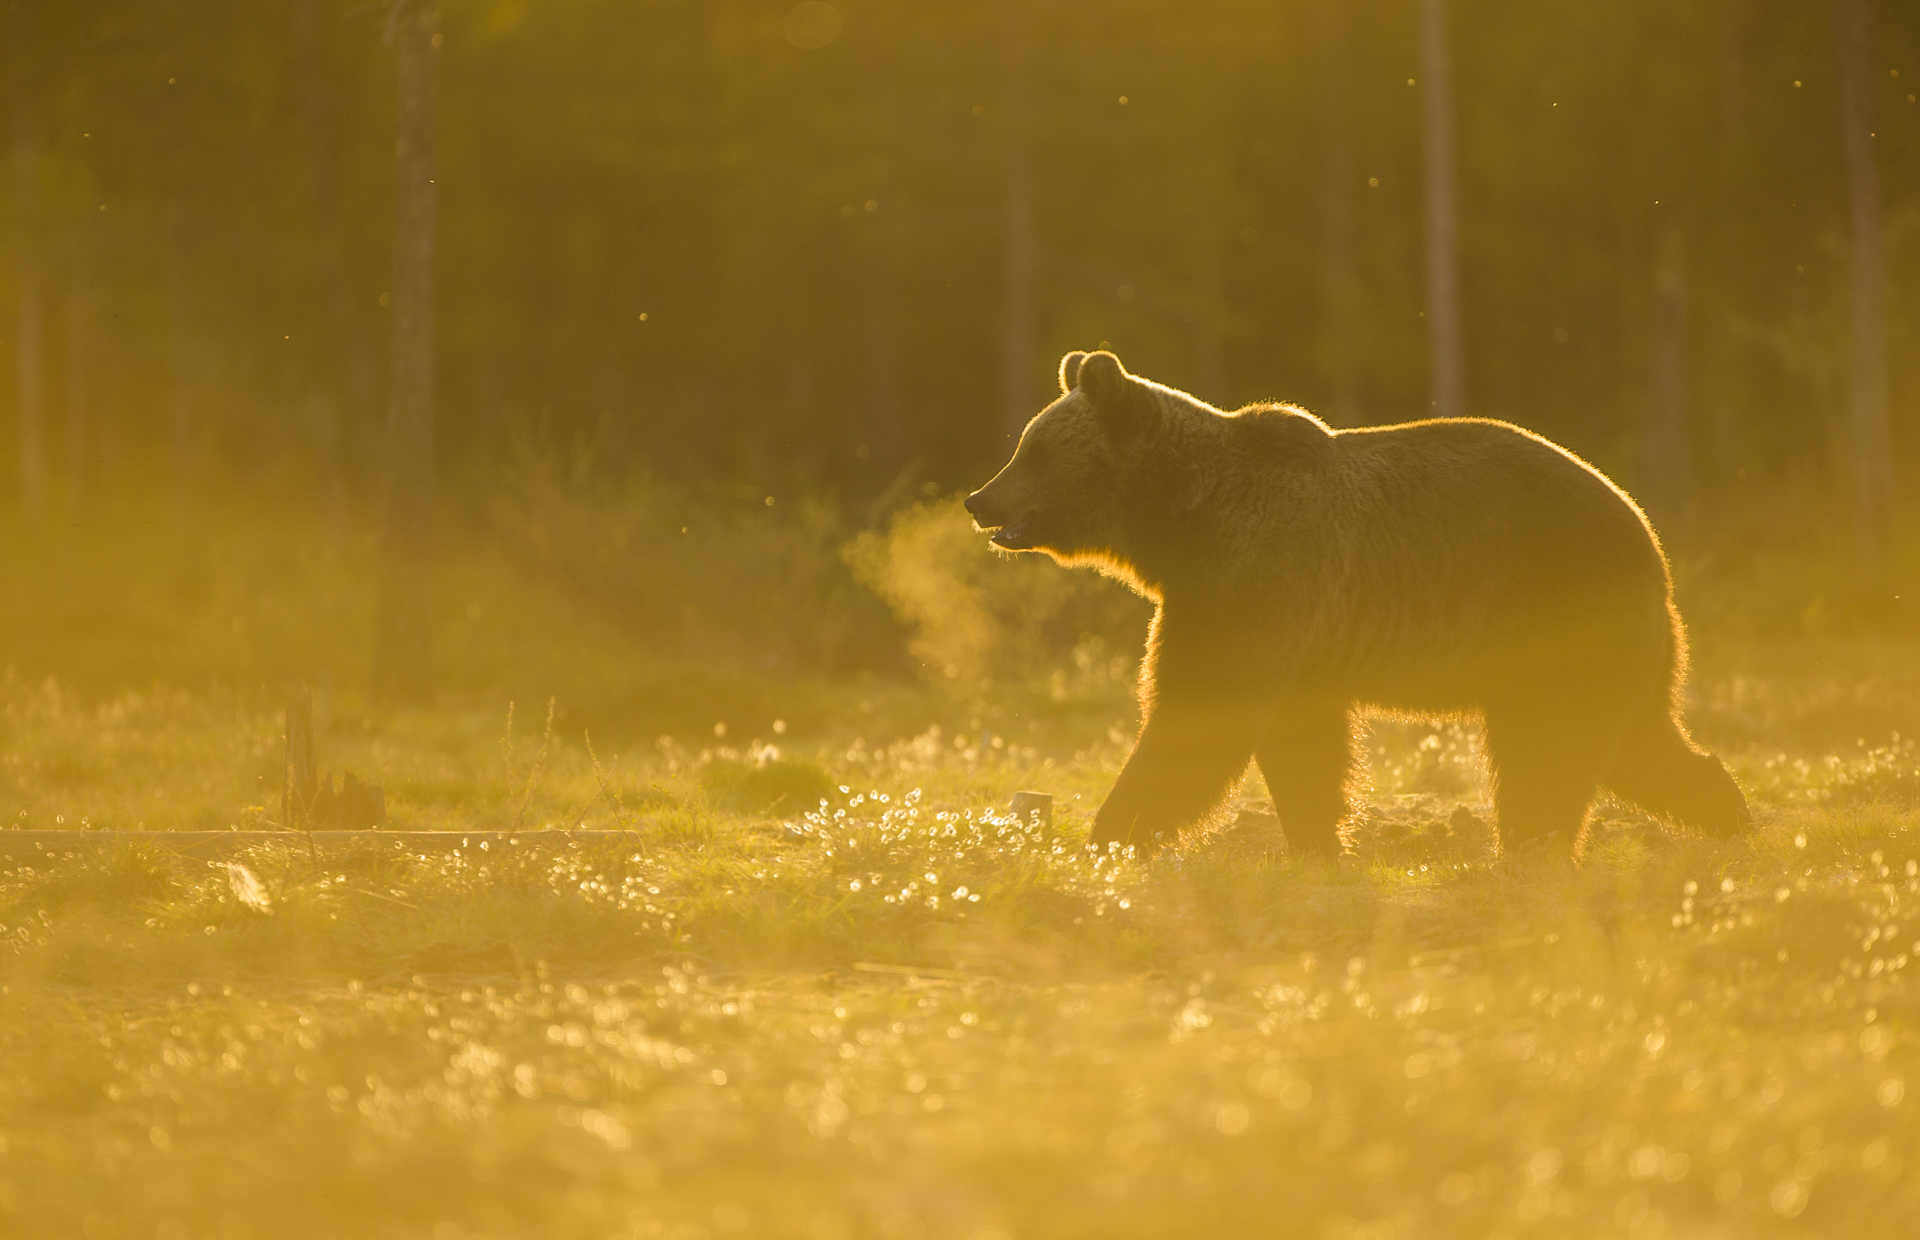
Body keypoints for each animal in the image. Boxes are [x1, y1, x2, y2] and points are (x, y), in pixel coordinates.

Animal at [967, 347, 1751, 856]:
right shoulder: (1284, 625)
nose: (979, 499)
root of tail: (1649, 539)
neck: (1179, 520)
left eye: (1034, 450)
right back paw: (1730, 816)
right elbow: (1302, 742)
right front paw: (1315, 840)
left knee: (1554, 745)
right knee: (1634, 741)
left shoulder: (1254, 576)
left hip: (1559, 607)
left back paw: (1535, 846)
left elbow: (1200, 709)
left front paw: (1113, 833)